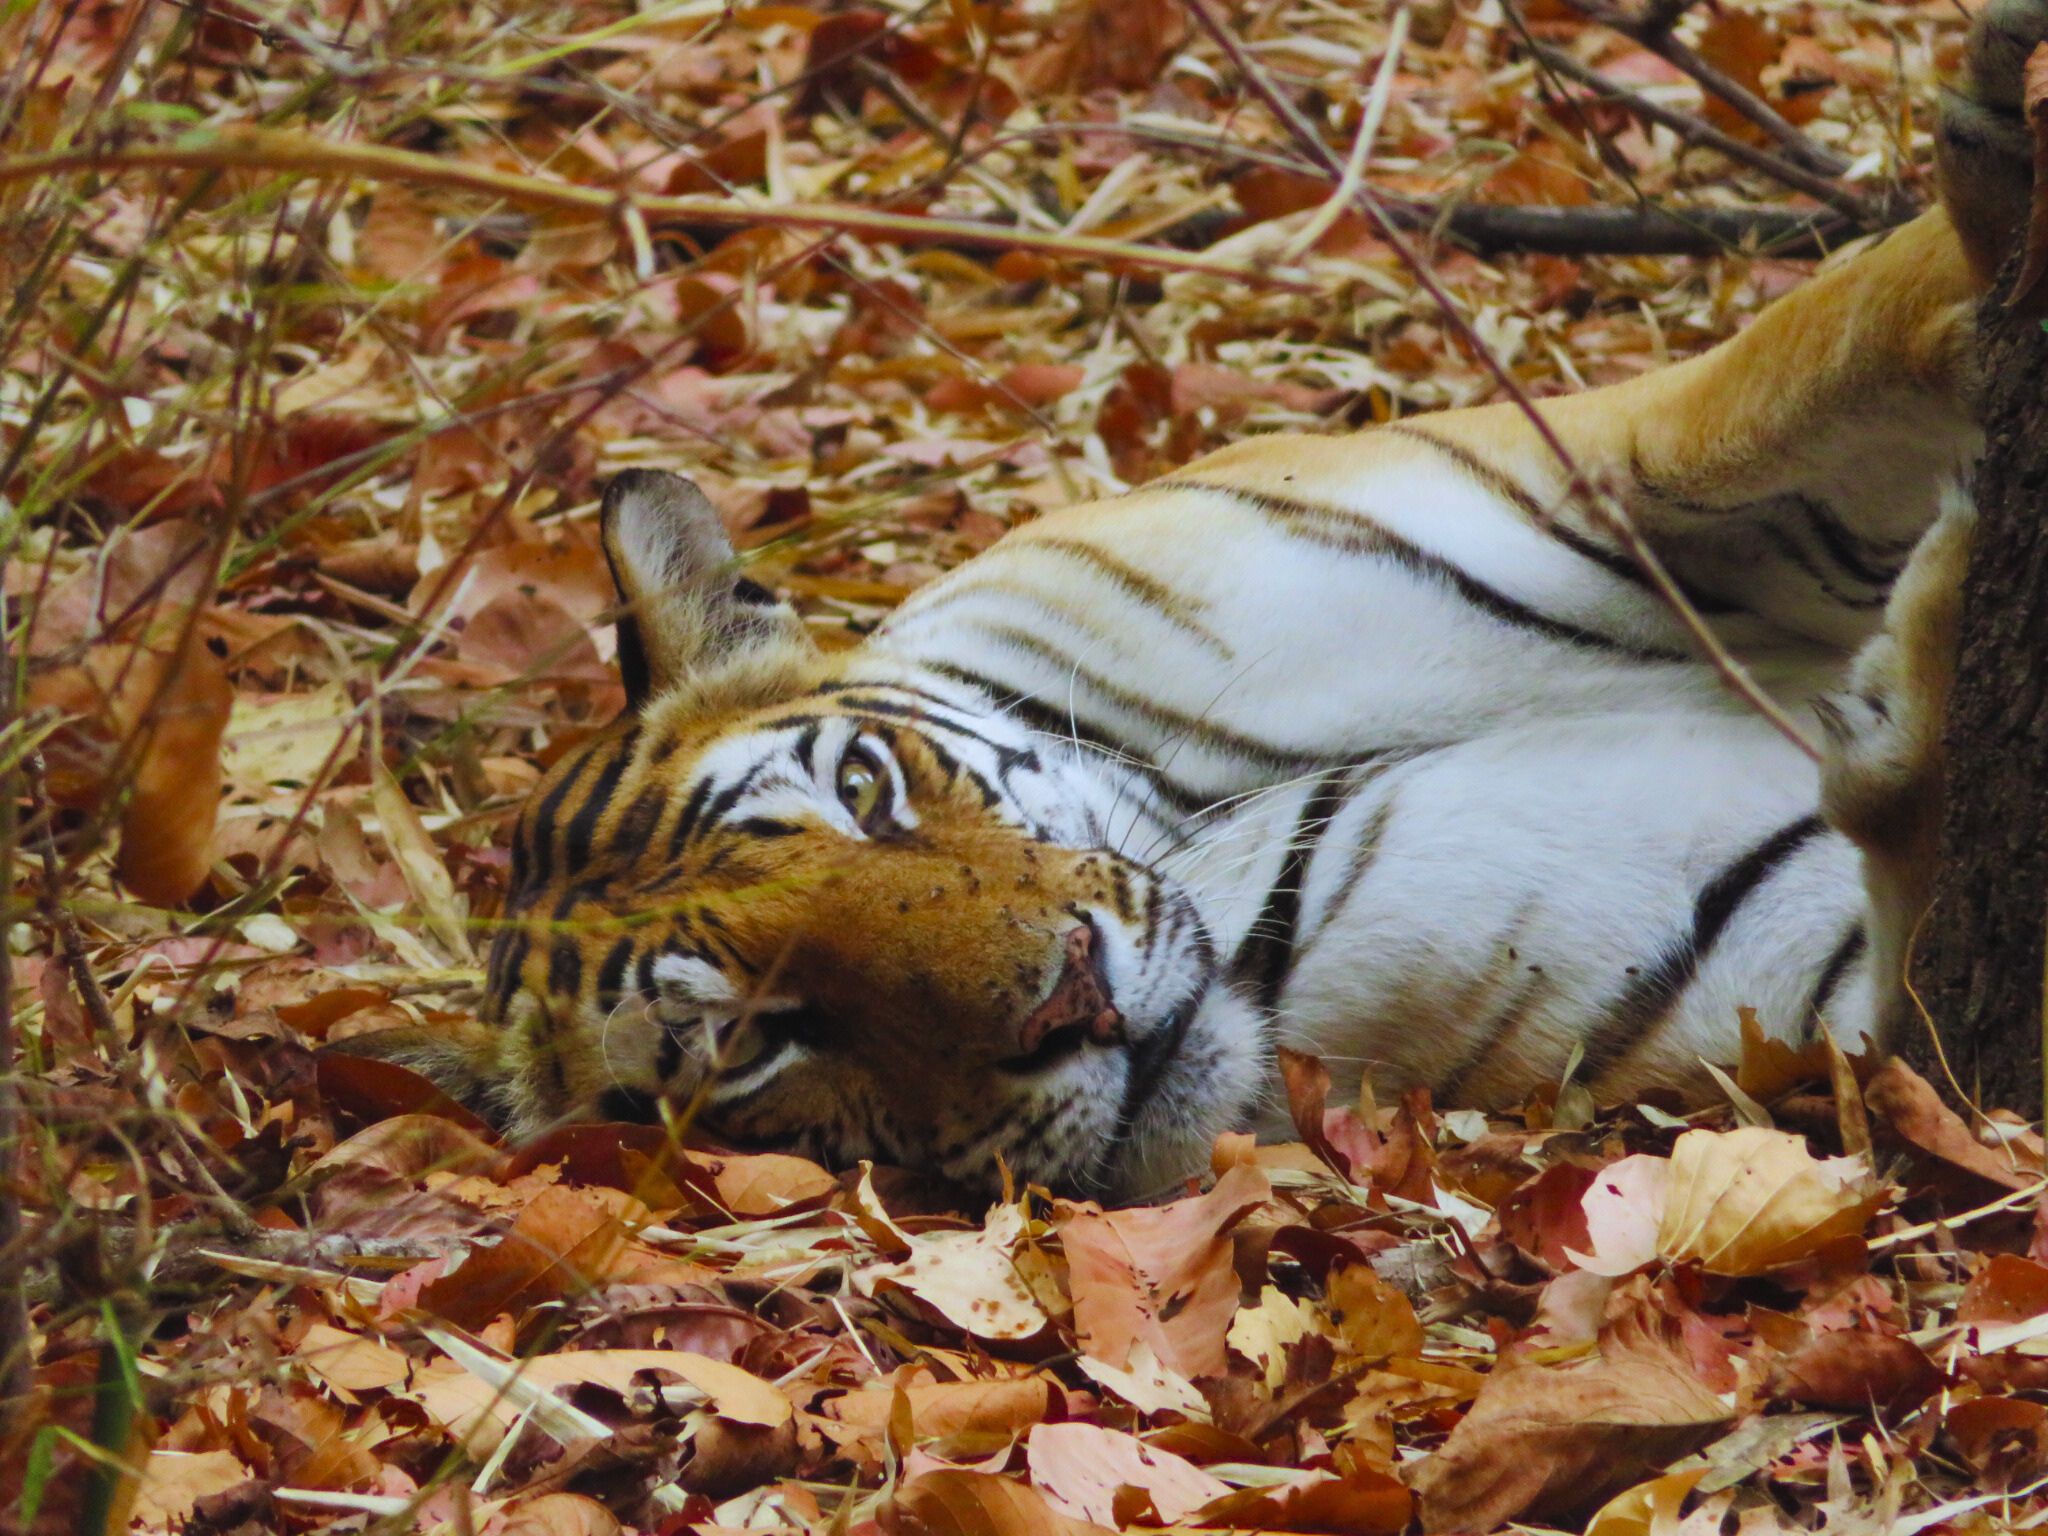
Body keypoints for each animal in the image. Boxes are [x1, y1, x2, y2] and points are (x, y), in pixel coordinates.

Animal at [339, 0, 2045, 1201]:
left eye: (865, 788)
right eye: (748, 1043)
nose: (1070, 1007)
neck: (1206, 812)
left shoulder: (1606, 468)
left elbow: (1846, 332)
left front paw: (1988, 171)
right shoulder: (1773, 988)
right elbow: (1918, 1008)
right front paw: (1921, 679)